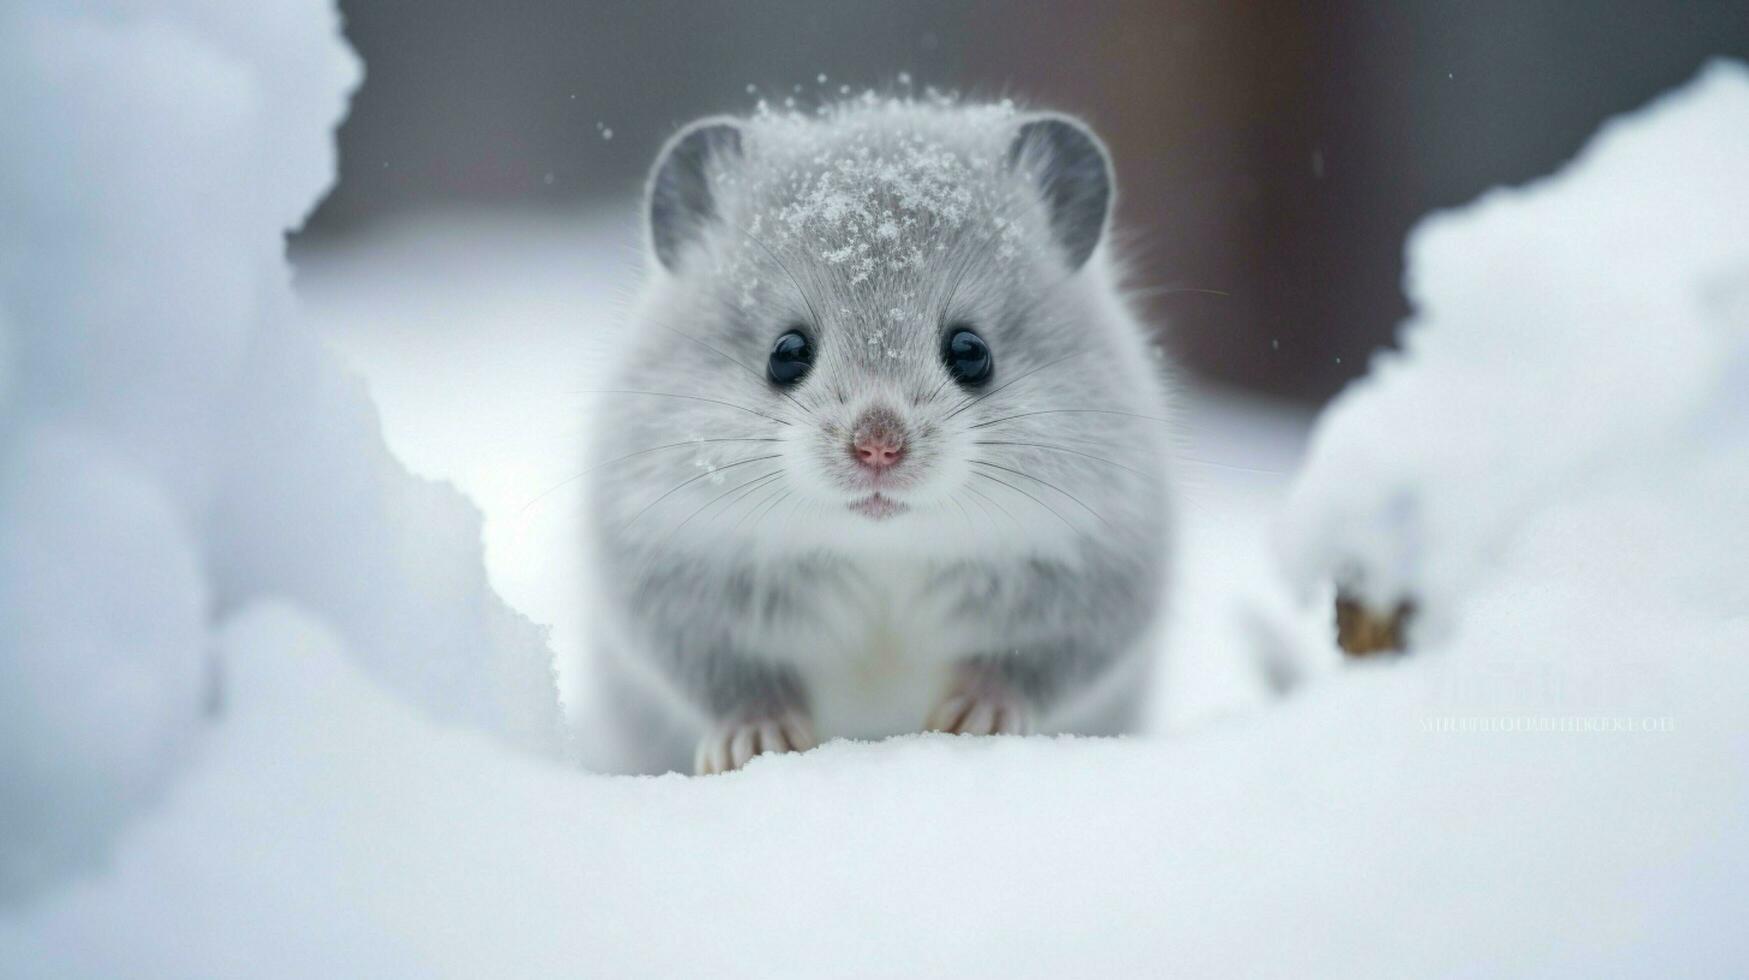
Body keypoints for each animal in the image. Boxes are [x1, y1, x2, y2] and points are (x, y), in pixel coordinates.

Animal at [587, 97, 1175, 773]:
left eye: (972, 352)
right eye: (785, 352)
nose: (878, 448)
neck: (883, 551)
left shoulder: (1092, 583)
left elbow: (1017, 670)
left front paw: (974, 724)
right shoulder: (676, 583)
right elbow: (738, 684)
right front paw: (757, 743)